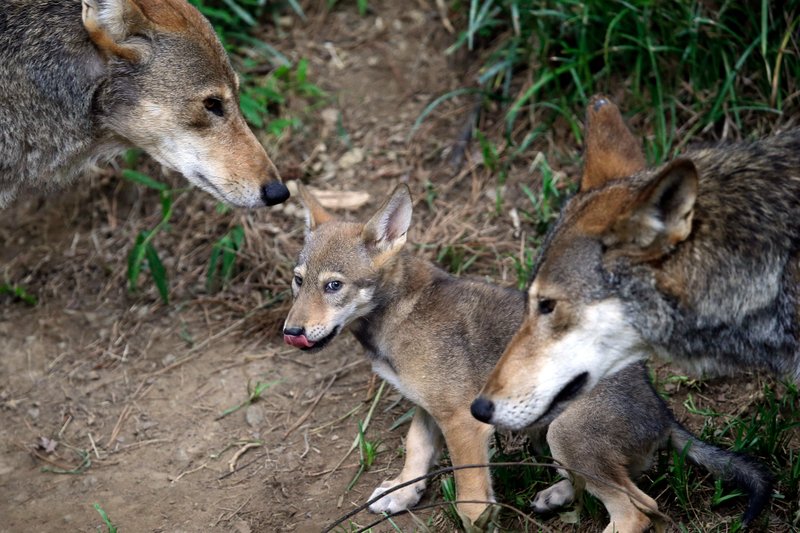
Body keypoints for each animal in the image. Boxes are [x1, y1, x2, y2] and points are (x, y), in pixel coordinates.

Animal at [283, 183, 771, 530]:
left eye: (333, 286)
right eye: (297, 281)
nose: (291, 332)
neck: (398, 312)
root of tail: (663, 414)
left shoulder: (461, 420)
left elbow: (471, 504)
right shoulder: (427, 409)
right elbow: (415, 453)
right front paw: (401, 495)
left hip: (564, 433)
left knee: (638, 511)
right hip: (556, 438)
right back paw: (556, 494)